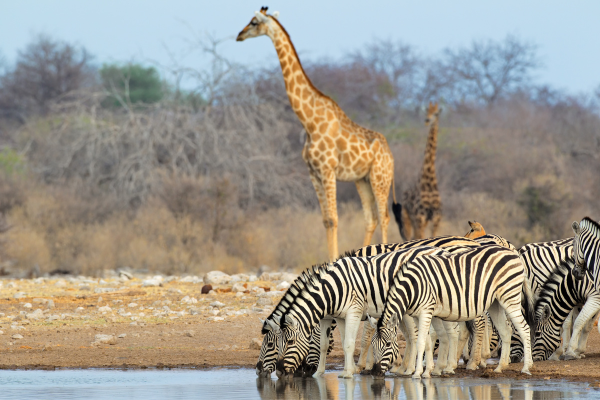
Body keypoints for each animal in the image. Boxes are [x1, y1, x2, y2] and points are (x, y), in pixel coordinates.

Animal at [237, 8, 396, 260]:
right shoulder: (313, 172)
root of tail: (391, 155)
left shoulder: (328, 169)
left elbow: (334, 218)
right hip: (362, 180)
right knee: (371, 219)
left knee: (384, 216)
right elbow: (325, 220)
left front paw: (333, 262)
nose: (239, 35)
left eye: (253, 22)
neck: (309, 122)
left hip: (380, 178)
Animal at [370, 244, 536, 378]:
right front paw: (427, 371)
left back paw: (526, 367)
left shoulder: (426, 311)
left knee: (524, 328)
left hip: (510, 296)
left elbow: (421, 342)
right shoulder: (420, 314)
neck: (412, 286)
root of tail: (513, 252)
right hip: (495, 302)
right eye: (373, 344)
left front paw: (417, 373)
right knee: (506, 331)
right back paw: (500, 367)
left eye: (388, 344)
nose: (375, 372)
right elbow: (427, 342)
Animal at [394, 102, 440, 241]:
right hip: (408, 217)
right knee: (410, 236)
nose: (427, 120)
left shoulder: (436, 218)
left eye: (436, 113)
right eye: (426, 111)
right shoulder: (420, 217)